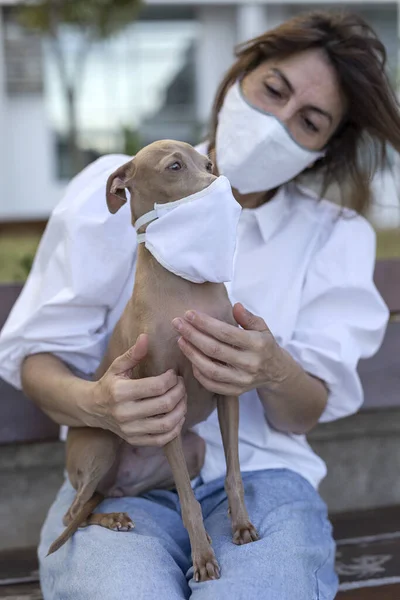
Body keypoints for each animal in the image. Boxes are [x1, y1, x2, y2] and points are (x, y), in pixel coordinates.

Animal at [47, 141, 260, 580]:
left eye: (209, 164)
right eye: (174, 167)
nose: (221, 186)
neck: (185, 287)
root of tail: (120, 484)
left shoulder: (225, 388)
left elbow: (232, 473)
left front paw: (241, 526)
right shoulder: (163, 403)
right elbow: (190, 501)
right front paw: (202, 558)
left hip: (191, 449)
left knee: (103, 501)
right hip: (101, 447)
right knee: (73, 514)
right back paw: (116, 519)